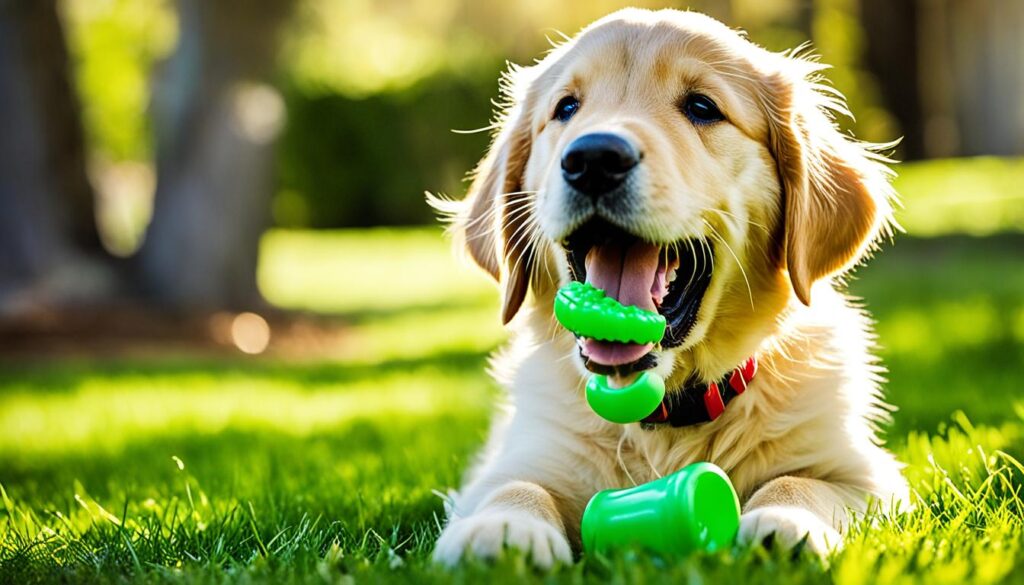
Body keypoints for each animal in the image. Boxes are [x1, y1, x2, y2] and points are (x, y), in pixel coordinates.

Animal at [428, 8, 909, 569]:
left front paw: (786, 523)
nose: (594, 158)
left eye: (702, 107)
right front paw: (501, 531)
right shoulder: (518, 460)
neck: (664, 410)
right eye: (566, 107)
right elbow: (516, 486)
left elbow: (801, 482)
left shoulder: (867, 477)